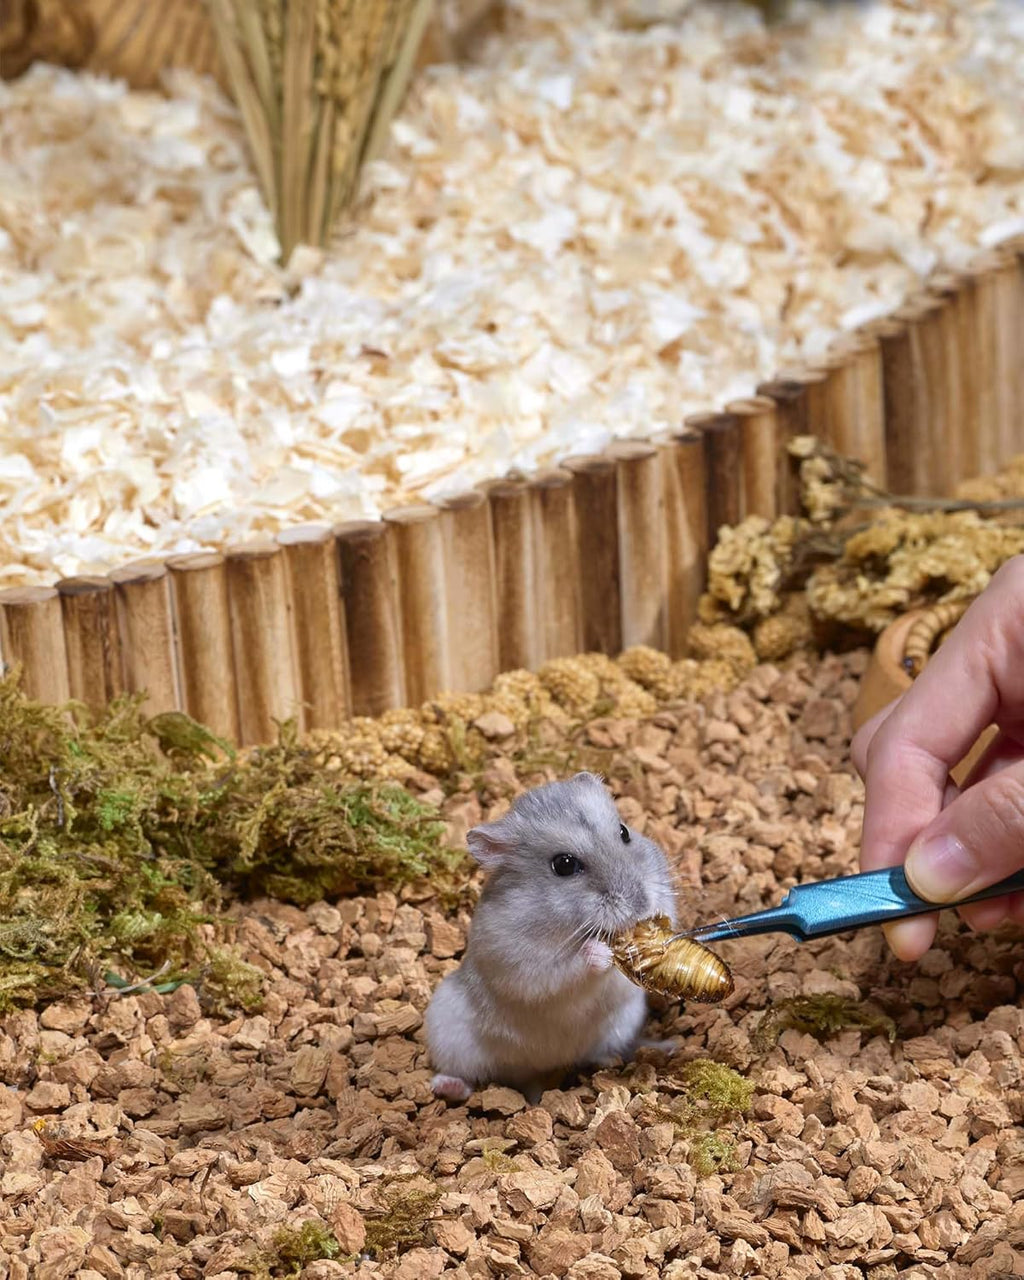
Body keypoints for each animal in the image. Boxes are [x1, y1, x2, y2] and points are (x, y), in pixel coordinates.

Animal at [425, 771, 678, 1103]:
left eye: (624, 832)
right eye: (564, 865)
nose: (641, 904)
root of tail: (536, 1073)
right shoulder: (523, 968)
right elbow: (564, 972)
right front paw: (599, 952)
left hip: (622, 1021)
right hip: (448, 1028)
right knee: (467, 1079)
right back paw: (445, 1086)